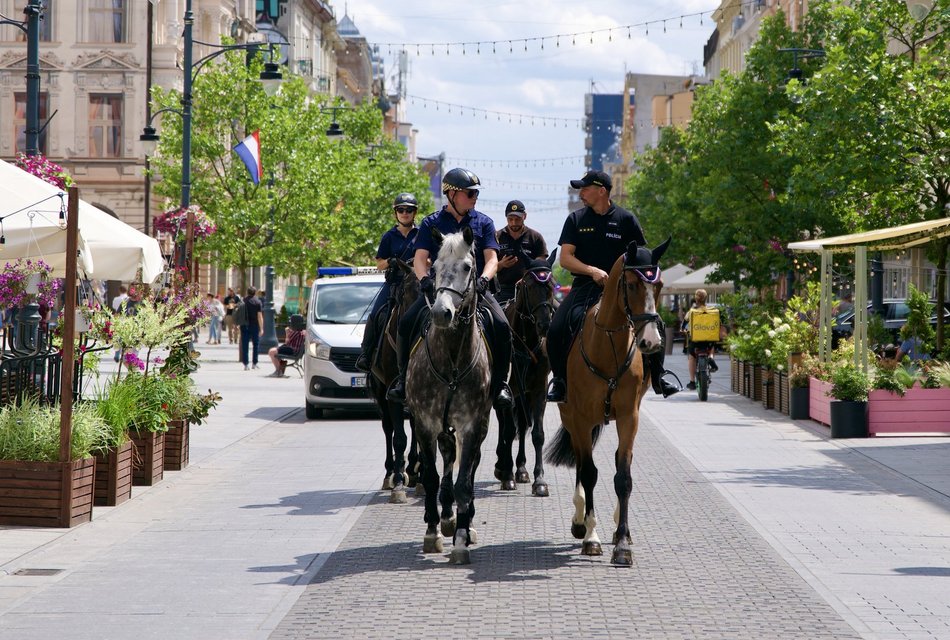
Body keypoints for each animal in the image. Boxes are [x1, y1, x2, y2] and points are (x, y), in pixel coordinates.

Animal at [548, 239, 672, 564]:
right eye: (630, 284)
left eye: (659, 285)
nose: (651, 342)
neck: (608, 348)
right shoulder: (580, 419)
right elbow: (589, 473)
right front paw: (591, 536)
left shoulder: (629, 416)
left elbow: (623, 476)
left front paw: (623, 542)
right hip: (570, 418)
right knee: (581, 463)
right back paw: (579, 522)